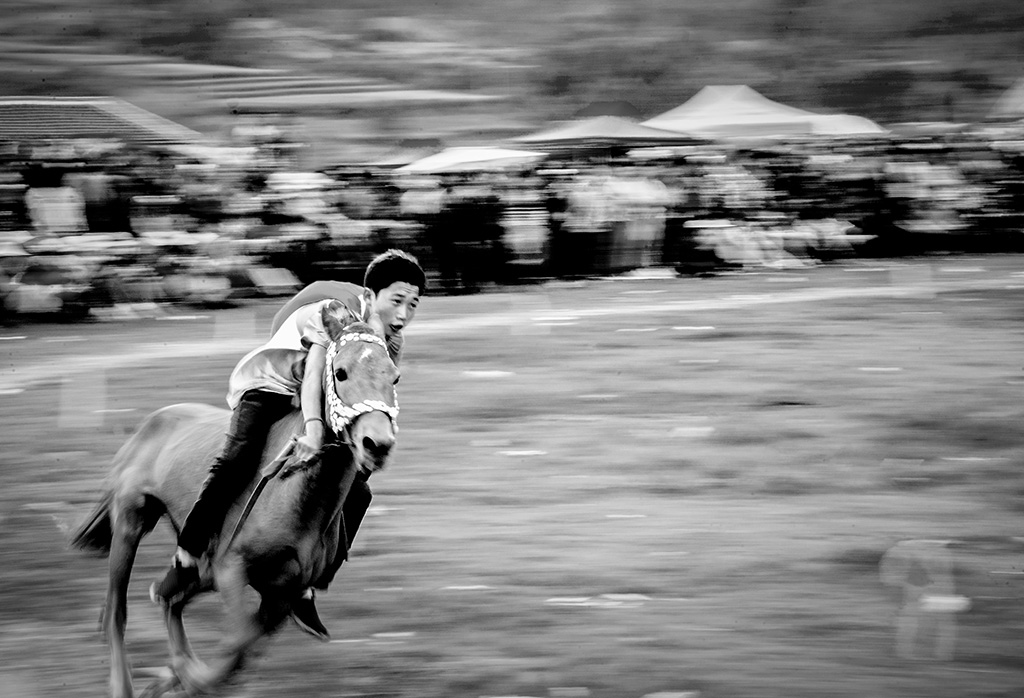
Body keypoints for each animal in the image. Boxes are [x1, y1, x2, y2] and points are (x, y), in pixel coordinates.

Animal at [69, 313, 399, 695]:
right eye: (341, 372)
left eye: (394, 376)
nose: (377, 443)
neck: (297, 497)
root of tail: (149, 424)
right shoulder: (231, 570)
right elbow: (237, 647)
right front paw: (186, 678)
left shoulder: (282, 594)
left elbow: (240, 651)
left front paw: (179, 677)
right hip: (131, 522)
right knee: (116, 612)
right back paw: (129, 681)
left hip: (199, 567)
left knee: (172, 599)